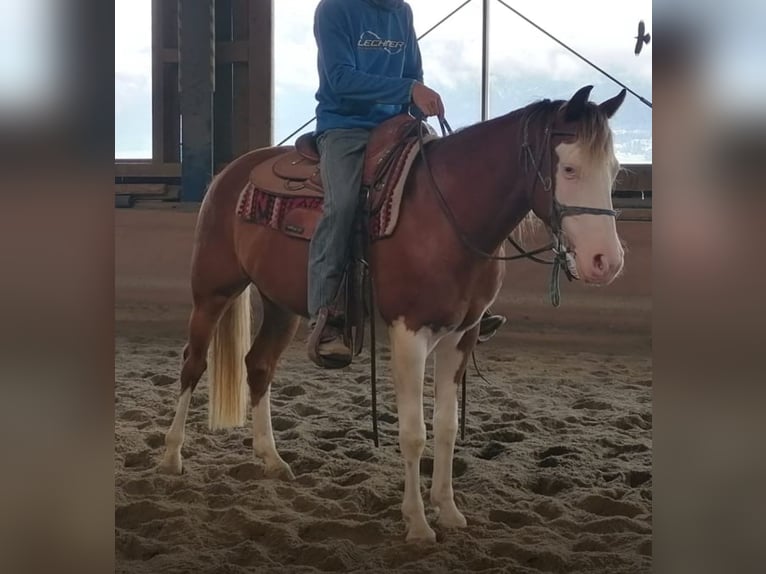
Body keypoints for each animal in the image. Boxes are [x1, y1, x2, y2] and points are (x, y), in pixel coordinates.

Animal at [158, 85, 627, 542]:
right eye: (569, 169)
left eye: (615, 170)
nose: (606, 262)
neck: (448, 215)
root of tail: (230, 171)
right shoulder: (409, 332)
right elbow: (413, 433)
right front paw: (417, 523)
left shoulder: (461, 335)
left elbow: (446, 427)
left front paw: (448, 511)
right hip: (213, 291)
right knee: (193, 364)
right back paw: (171, 455)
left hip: (281, 305)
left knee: (258, 365)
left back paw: (271, 458)